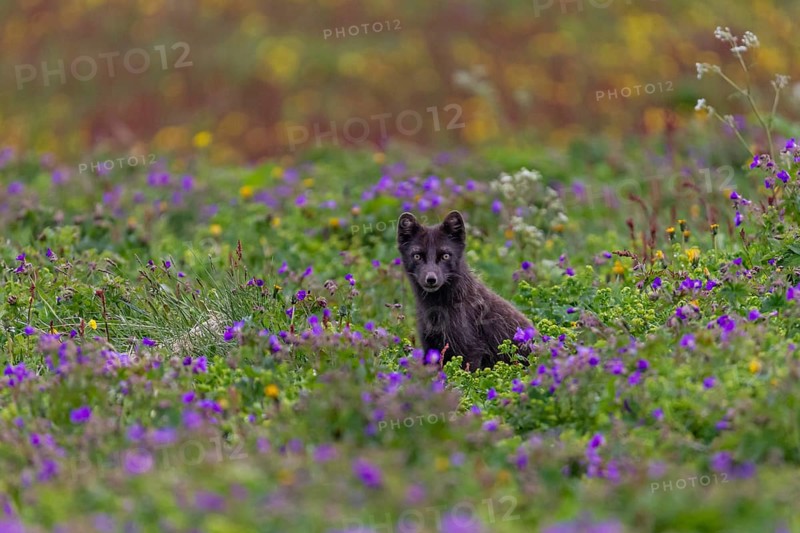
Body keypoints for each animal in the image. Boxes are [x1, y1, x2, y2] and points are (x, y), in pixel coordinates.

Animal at [397, 210, 534, 371]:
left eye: (445, 256)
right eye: (417, 256)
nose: (431, 279)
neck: (436, 308)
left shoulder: (470, 350)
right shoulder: (429, 345)